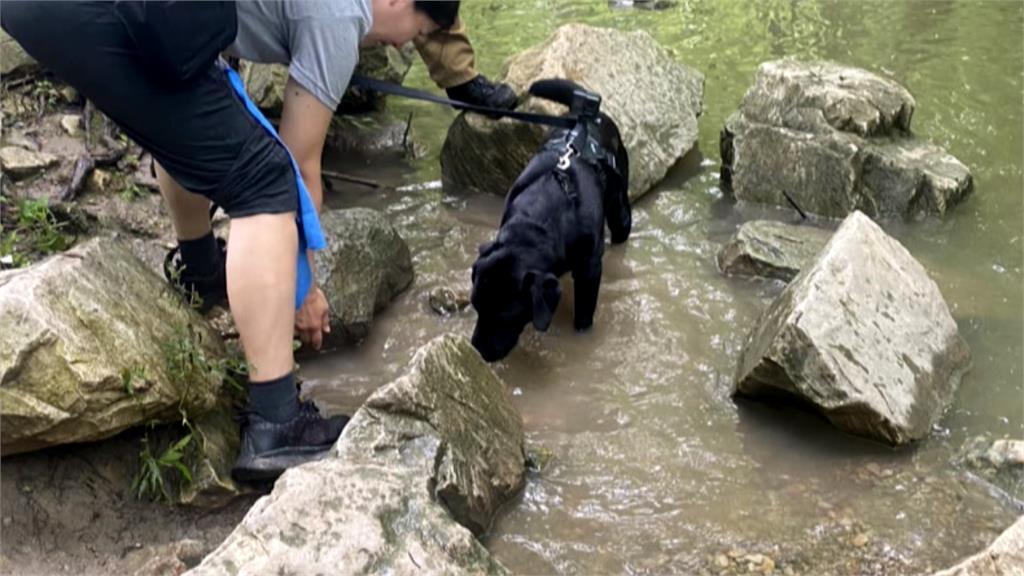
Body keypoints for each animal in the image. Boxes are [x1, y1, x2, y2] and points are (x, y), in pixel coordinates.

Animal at [471, 78, 630, 360]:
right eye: (476, 306)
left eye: (505, 316)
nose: (477, 350)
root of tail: (588, 113)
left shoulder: (590, 270)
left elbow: (583, 314)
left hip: (620, 211)